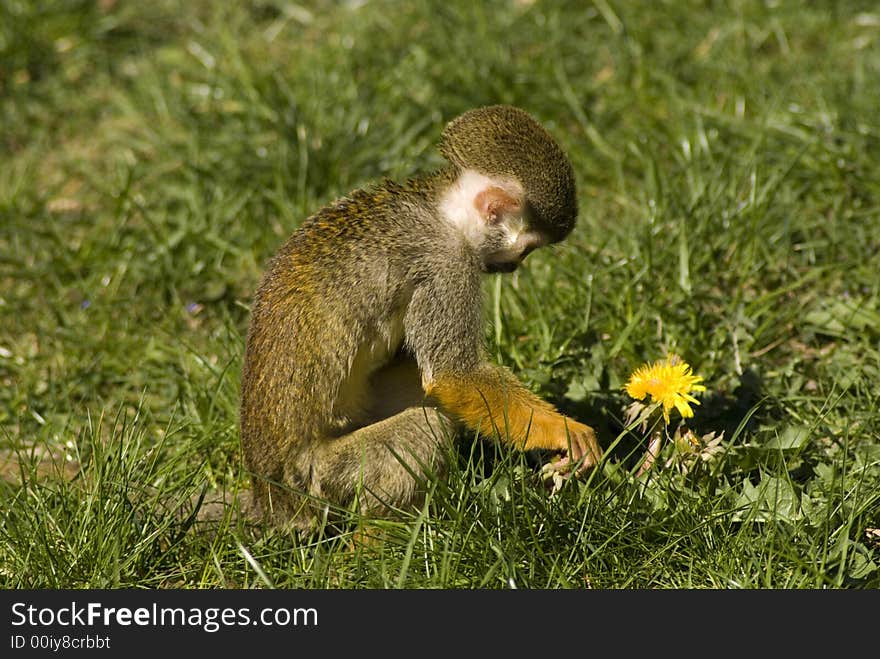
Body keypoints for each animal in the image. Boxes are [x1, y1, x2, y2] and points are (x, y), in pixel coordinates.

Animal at [237, 105, 600, 532]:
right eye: (527, 250)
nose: (513, 267)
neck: (443, 211)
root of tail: (269, 499)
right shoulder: (446, 262)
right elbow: (452, 375)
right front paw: (564, 431)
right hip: (319, 476)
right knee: (424, 426)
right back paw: (380, 538)